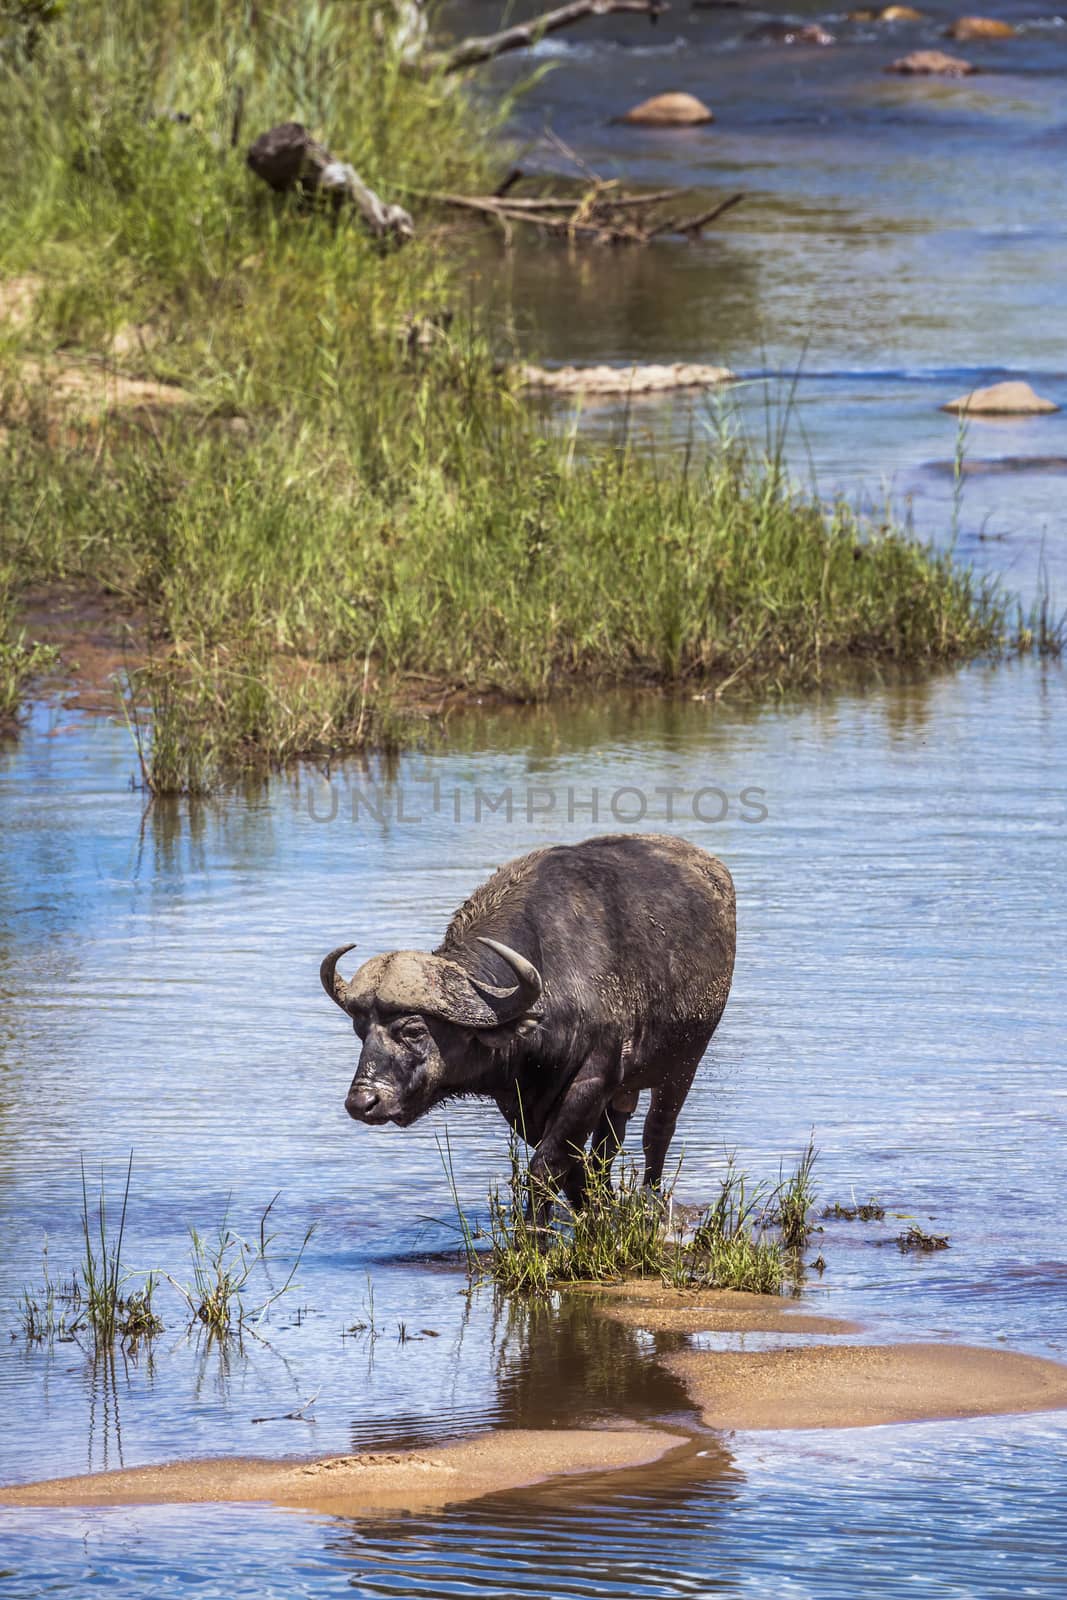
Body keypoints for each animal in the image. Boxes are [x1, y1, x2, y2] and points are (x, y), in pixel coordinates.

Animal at [316, 832, 735, 1203]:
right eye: (361, 1030)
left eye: (415, 1029)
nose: (362, 1102)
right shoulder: (520, 1103)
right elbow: (574, 1169)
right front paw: (593, 1213)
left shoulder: (593, 1081)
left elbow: (545, 1169)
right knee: (608, 1148)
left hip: (683, 1063)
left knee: (657, 1133)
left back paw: (651, 1202)